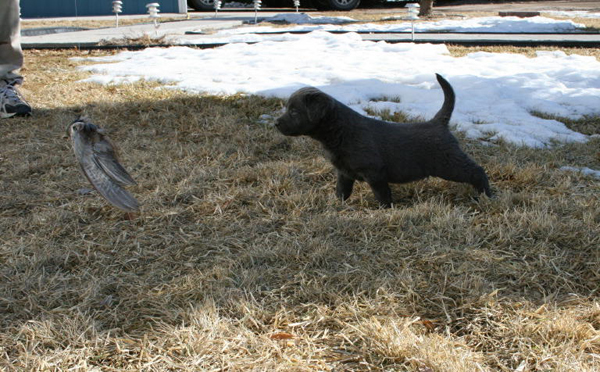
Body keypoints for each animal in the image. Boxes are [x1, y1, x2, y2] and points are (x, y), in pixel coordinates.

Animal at [276, 72, 492, 206]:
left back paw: (487, 195)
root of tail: (438, 123)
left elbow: (382, 195)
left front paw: (386, 210)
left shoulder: (375, 172)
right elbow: (342, 191)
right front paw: (337, 204)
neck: (340, 130)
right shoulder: (344, 172)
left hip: (449, 163)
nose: (276, 123)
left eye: (294, 112)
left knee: (477, 171)